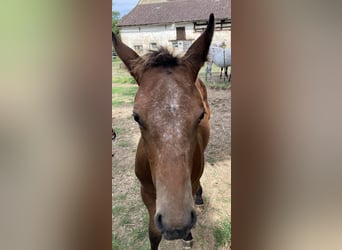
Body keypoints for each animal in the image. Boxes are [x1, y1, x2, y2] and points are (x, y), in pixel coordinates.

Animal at [112, 13, 214, 250]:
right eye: (136, 116)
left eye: (200, 115)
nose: (176, 225)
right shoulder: (147, 193)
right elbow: (153, 233)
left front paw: (188, 235)